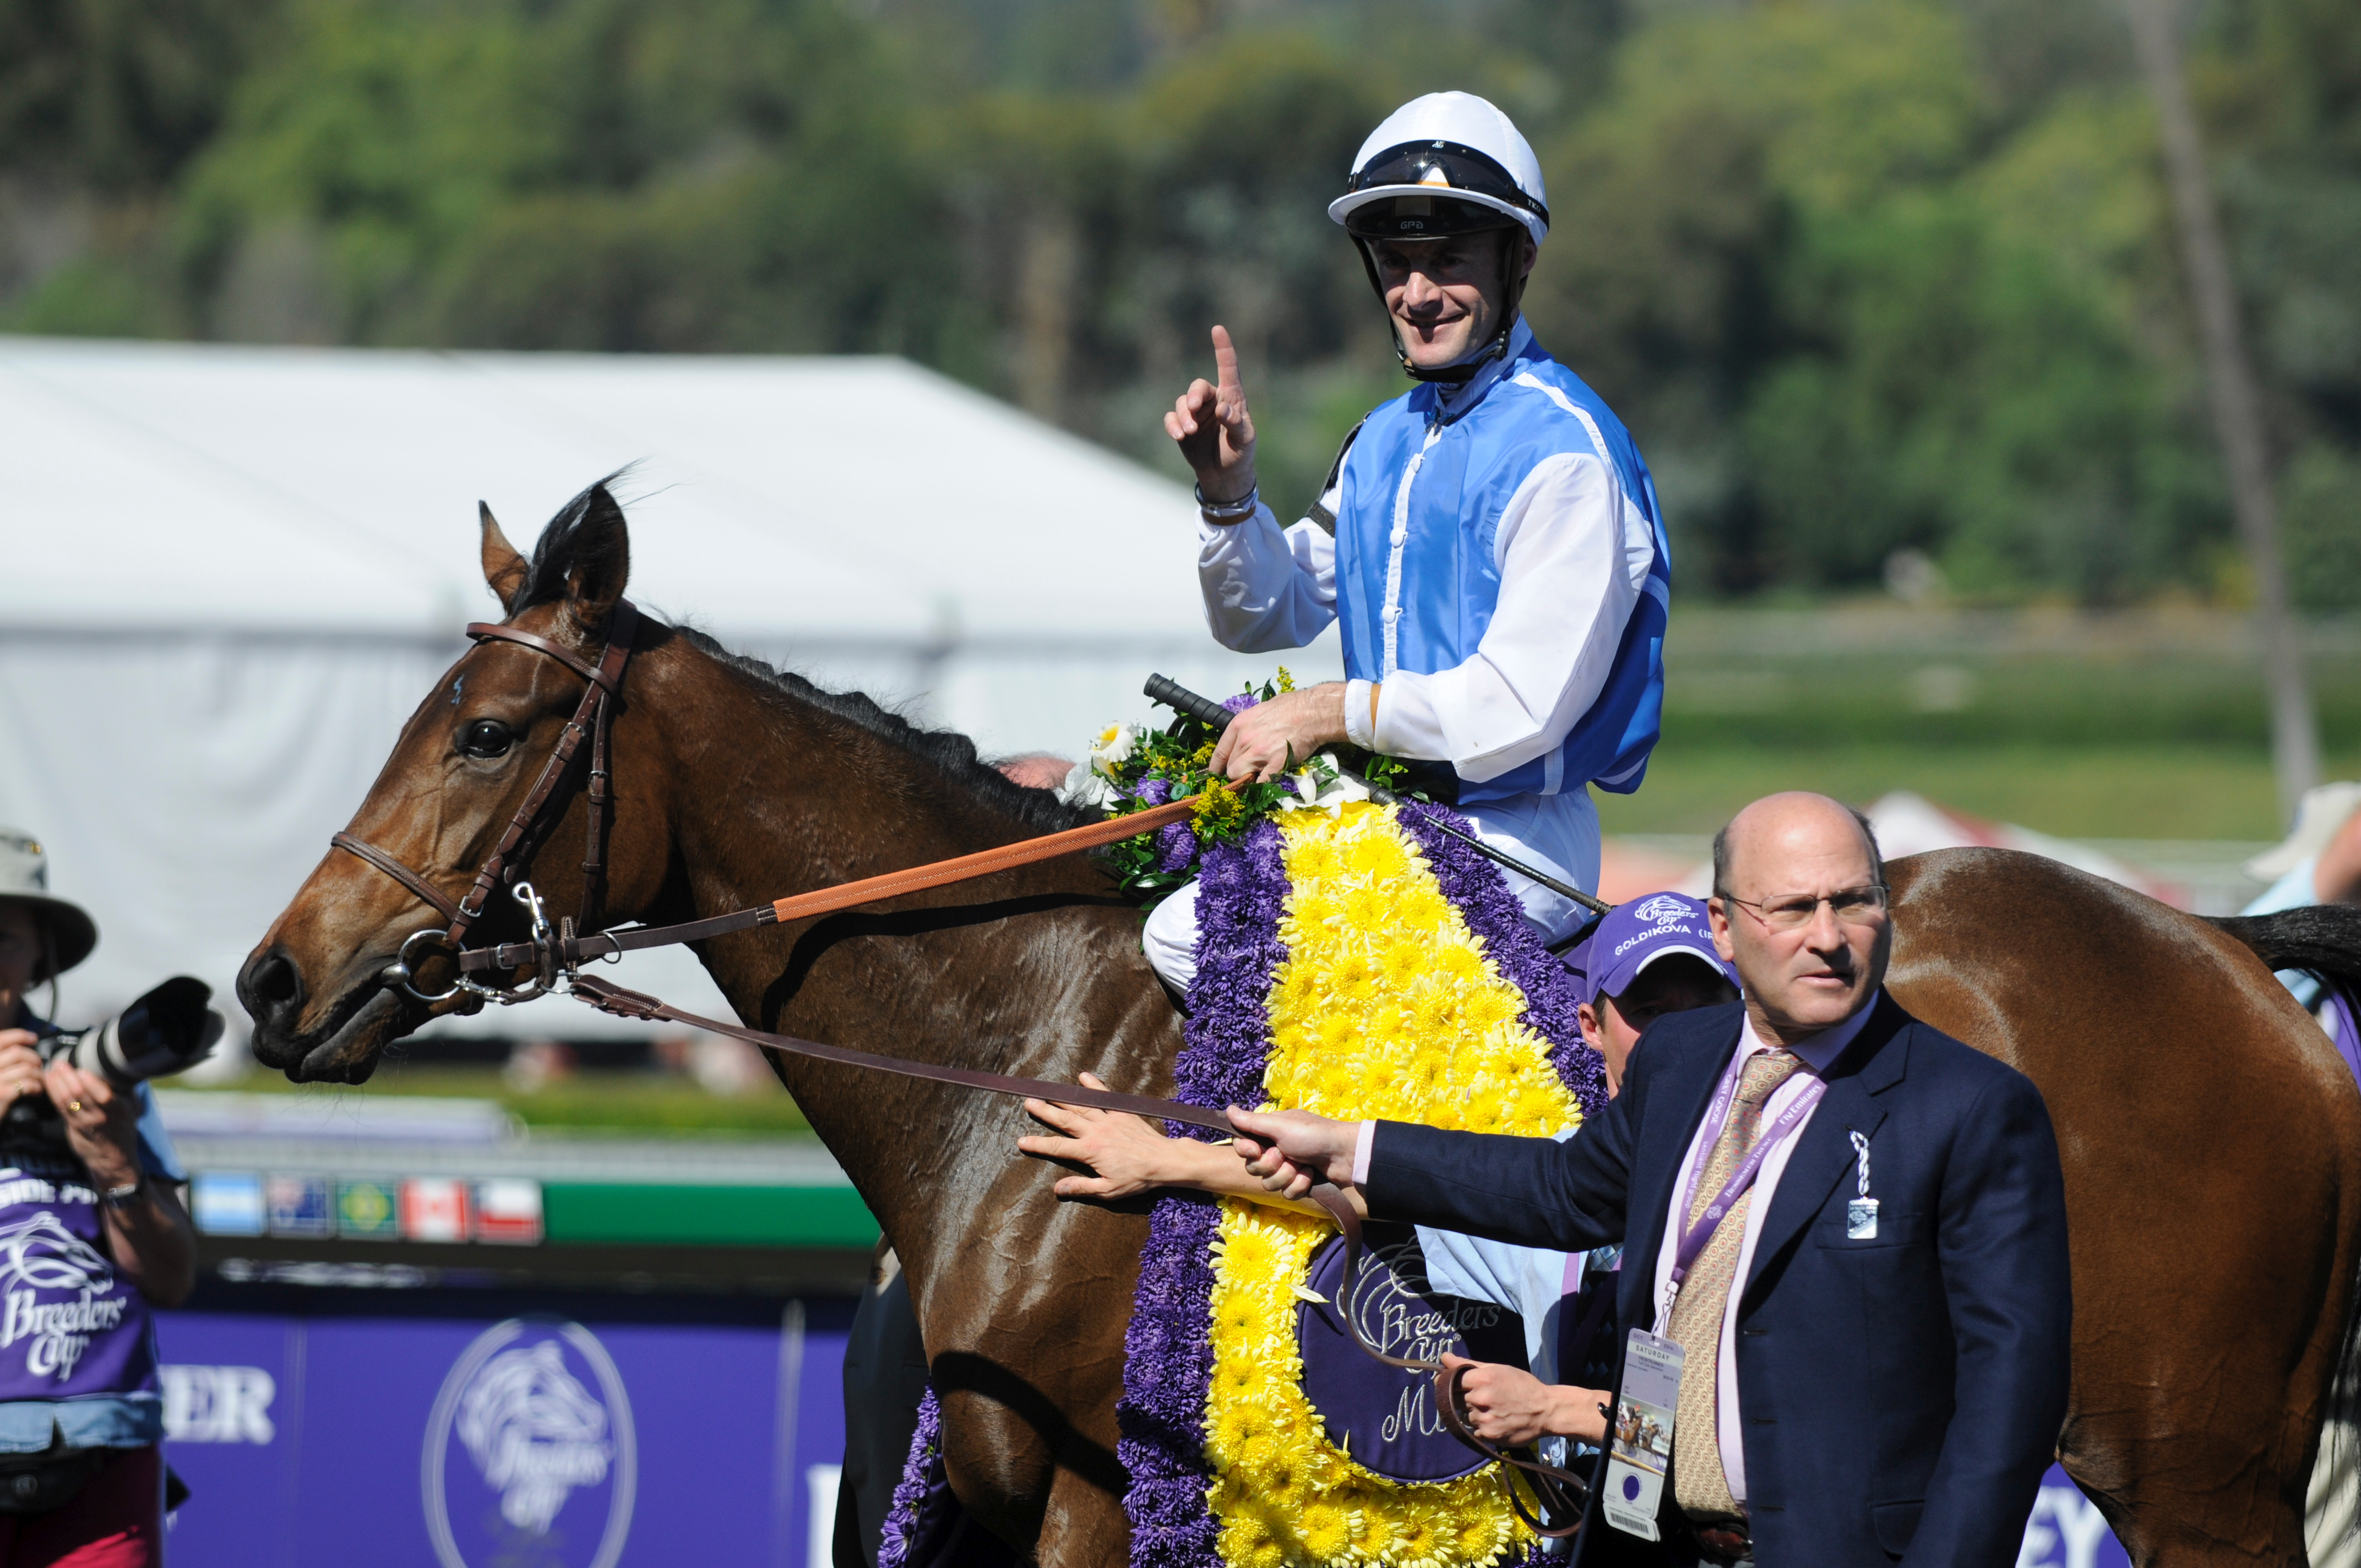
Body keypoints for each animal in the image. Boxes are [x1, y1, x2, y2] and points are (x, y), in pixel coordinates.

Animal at [230, 484, 2351, 1558]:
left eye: (489, 728)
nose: (271, 979)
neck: (1031, 1044)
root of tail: (2233, 958)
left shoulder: (1106, 1492)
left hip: (2196, 1475)